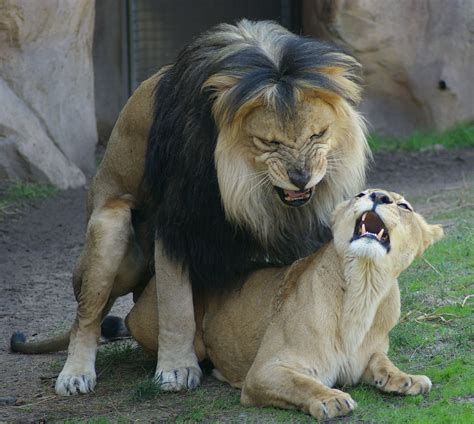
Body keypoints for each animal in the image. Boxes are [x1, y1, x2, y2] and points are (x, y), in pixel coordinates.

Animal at [9, 19, 368, 396]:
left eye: (318, 134)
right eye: (269, 142)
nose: (301, 178)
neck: (247, 188)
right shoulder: (177, 219)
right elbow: (175, 305)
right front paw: (176, 369)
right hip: (110, 225)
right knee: (87, 316)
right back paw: (76, 374)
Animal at [124, 190, 442, 420]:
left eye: (404, 206)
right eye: (360, 194)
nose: (378, 196)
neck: (363, 287)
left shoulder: (364, 358)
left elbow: (382, 362)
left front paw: (406, 379)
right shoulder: (264, 370)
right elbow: (302, 383)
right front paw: (331, 398)